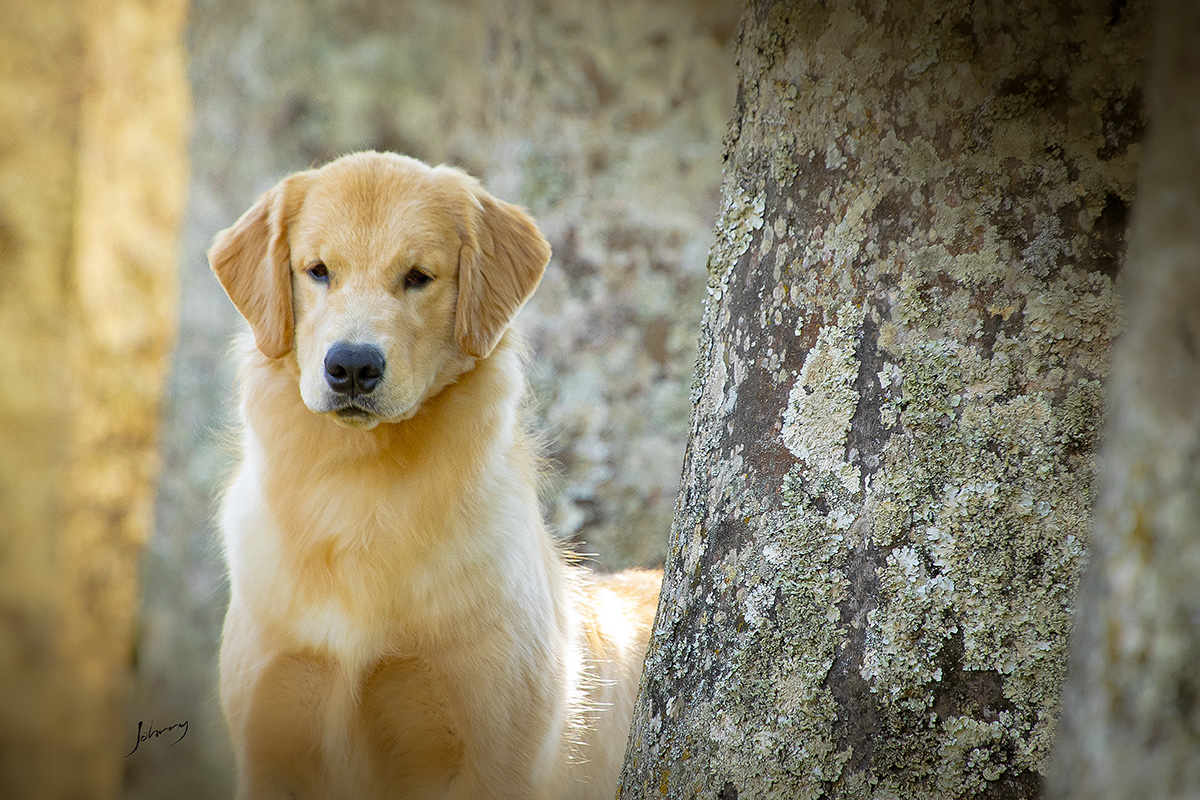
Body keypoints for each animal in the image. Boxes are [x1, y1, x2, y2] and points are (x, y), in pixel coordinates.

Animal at [213, 151, 667, 800]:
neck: (361, 493)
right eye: (318, 271)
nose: (352, 366)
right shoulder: (270, 738)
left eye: (417, 277)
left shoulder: (490, 754)